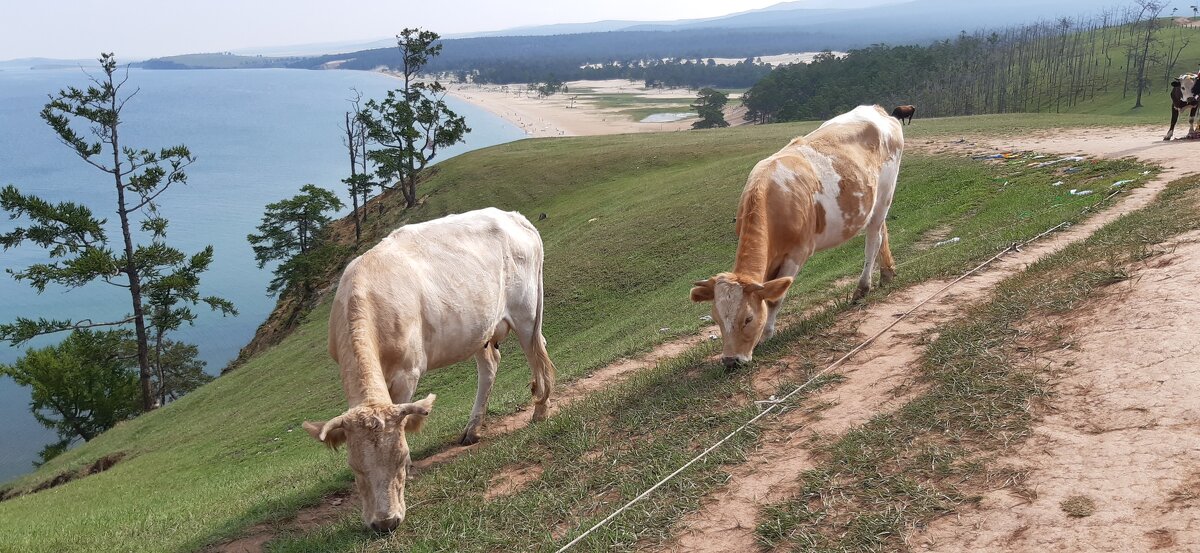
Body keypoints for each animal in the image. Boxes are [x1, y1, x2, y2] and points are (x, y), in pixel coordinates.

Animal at [304, 206, 556, 530]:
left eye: (400, 458)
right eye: (355, 467)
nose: (385, 522)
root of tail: (512, 215)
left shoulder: (406, 373)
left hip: (527, 311)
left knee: (537, 352)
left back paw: (540, 411)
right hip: (478, 328)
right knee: (490, 366)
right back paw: (472, 429)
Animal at [696, 106, 902, 369]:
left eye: (748, 318)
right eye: (716, 318)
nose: (731, 361)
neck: (772, 202)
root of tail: (876, 109)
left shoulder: (797, 253)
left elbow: (775, 298)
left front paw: (766, 335)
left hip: (886, 193)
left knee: (873, 240)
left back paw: (862, 288)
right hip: (873, 201)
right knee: (882, 231)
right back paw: (887, 273)